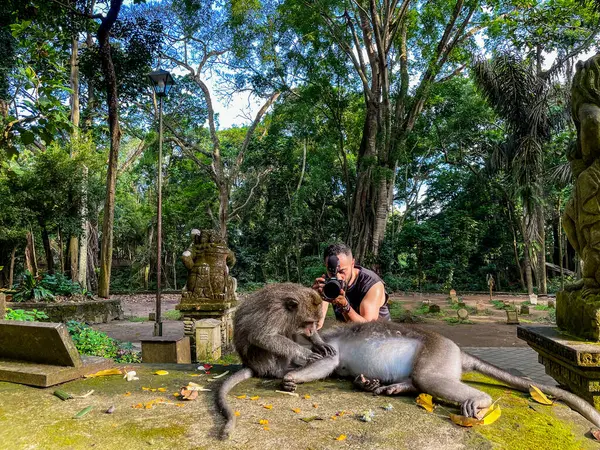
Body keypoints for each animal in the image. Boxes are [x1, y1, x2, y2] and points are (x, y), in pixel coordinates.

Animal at [217, 284, 338, 438]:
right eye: (308, 322)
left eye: (314, 323)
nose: (312, 331)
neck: (288, 310)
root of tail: (249, 364)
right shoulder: (276, 313)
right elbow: (261, 337)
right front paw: (306, 353)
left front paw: (319, 343)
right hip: (259, 359)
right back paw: (279, 371)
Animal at [282, 322, 600, 428]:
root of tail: (457, 351)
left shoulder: (327, 341)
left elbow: (329, 359)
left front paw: (293, 376)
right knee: (419, 380)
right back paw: (394, 386)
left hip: (437, 352)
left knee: (427, 377)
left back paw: (481, 400)